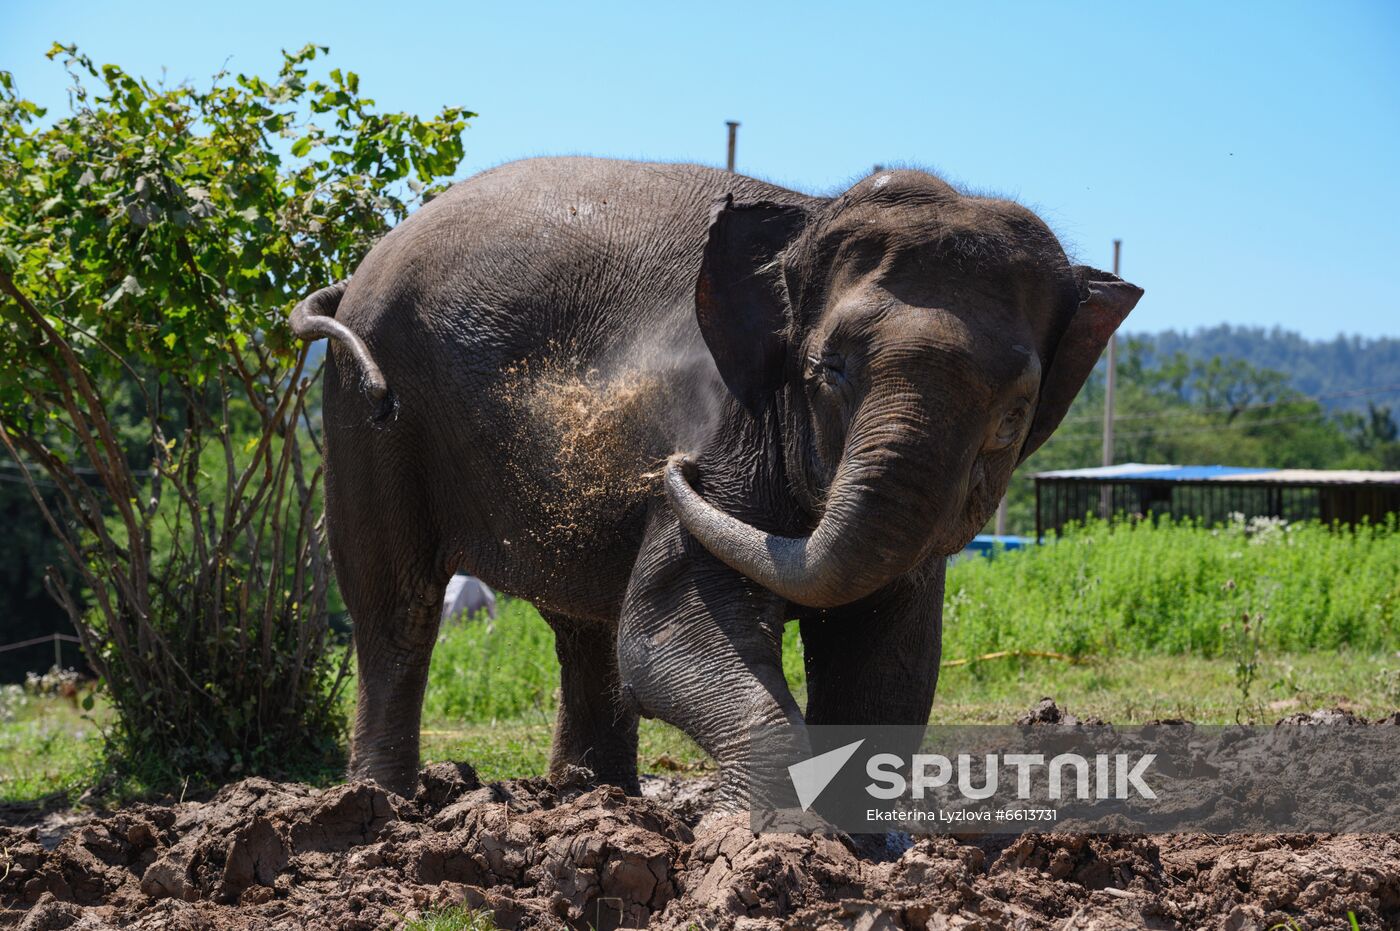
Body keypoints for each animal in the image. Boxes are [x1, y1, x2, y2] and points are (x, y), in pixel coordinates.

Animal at [289, 154, 1142, 800]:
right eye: (829, 368)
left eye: (1015, 411)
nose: (671, 467)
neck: (809, 215)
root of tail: (354, 273)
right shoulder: (726, 423)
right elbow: (673, 627)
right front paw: (765, 826)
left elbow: (889, 654)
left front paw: (869, 844)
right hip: (367, 412)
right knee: (398, 605)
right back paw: (385, 804)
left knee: (585, 626)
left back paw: (594, 796)